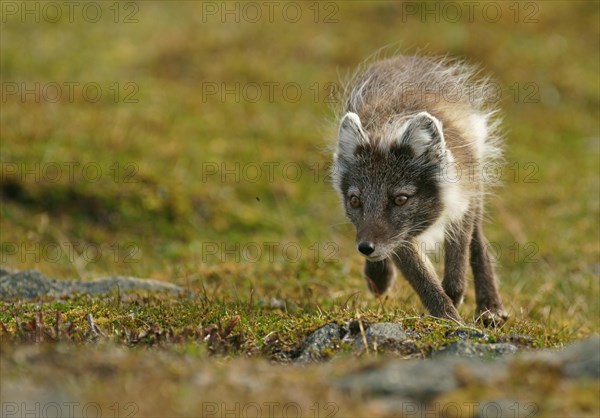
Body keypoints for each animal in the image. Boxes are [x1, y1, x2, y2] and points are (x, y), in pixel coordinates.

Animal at [330, 54, 508, 324]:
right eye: (355, 201)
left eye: (400, 199)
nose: (365, 248)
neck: (387, 129)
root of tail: (402, 58)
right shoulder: (399, 238)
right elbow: (421, 277)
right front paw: (448, 317)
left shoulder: (462, 200)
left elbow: (459, 255)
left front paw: (454, 297)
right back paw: (379, 278)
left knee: (477, 240)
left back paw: (490, 307)